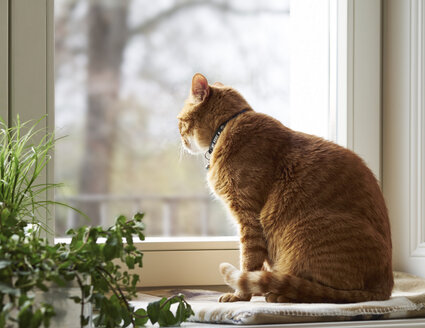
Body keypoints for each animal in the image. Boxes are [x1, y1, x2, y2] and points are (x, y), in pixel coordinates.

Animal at [177, 73, 392, 302]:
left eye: (180, 121)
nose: (181, 139)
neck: (226, 127)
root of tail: (386, 287)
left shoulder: (248, 217)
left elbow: (248, 262)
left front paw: (240, 296)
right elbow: (257, 267)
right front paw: (254, 290)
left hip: (304, 234)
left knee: (322, 292)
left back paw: (279, 295)